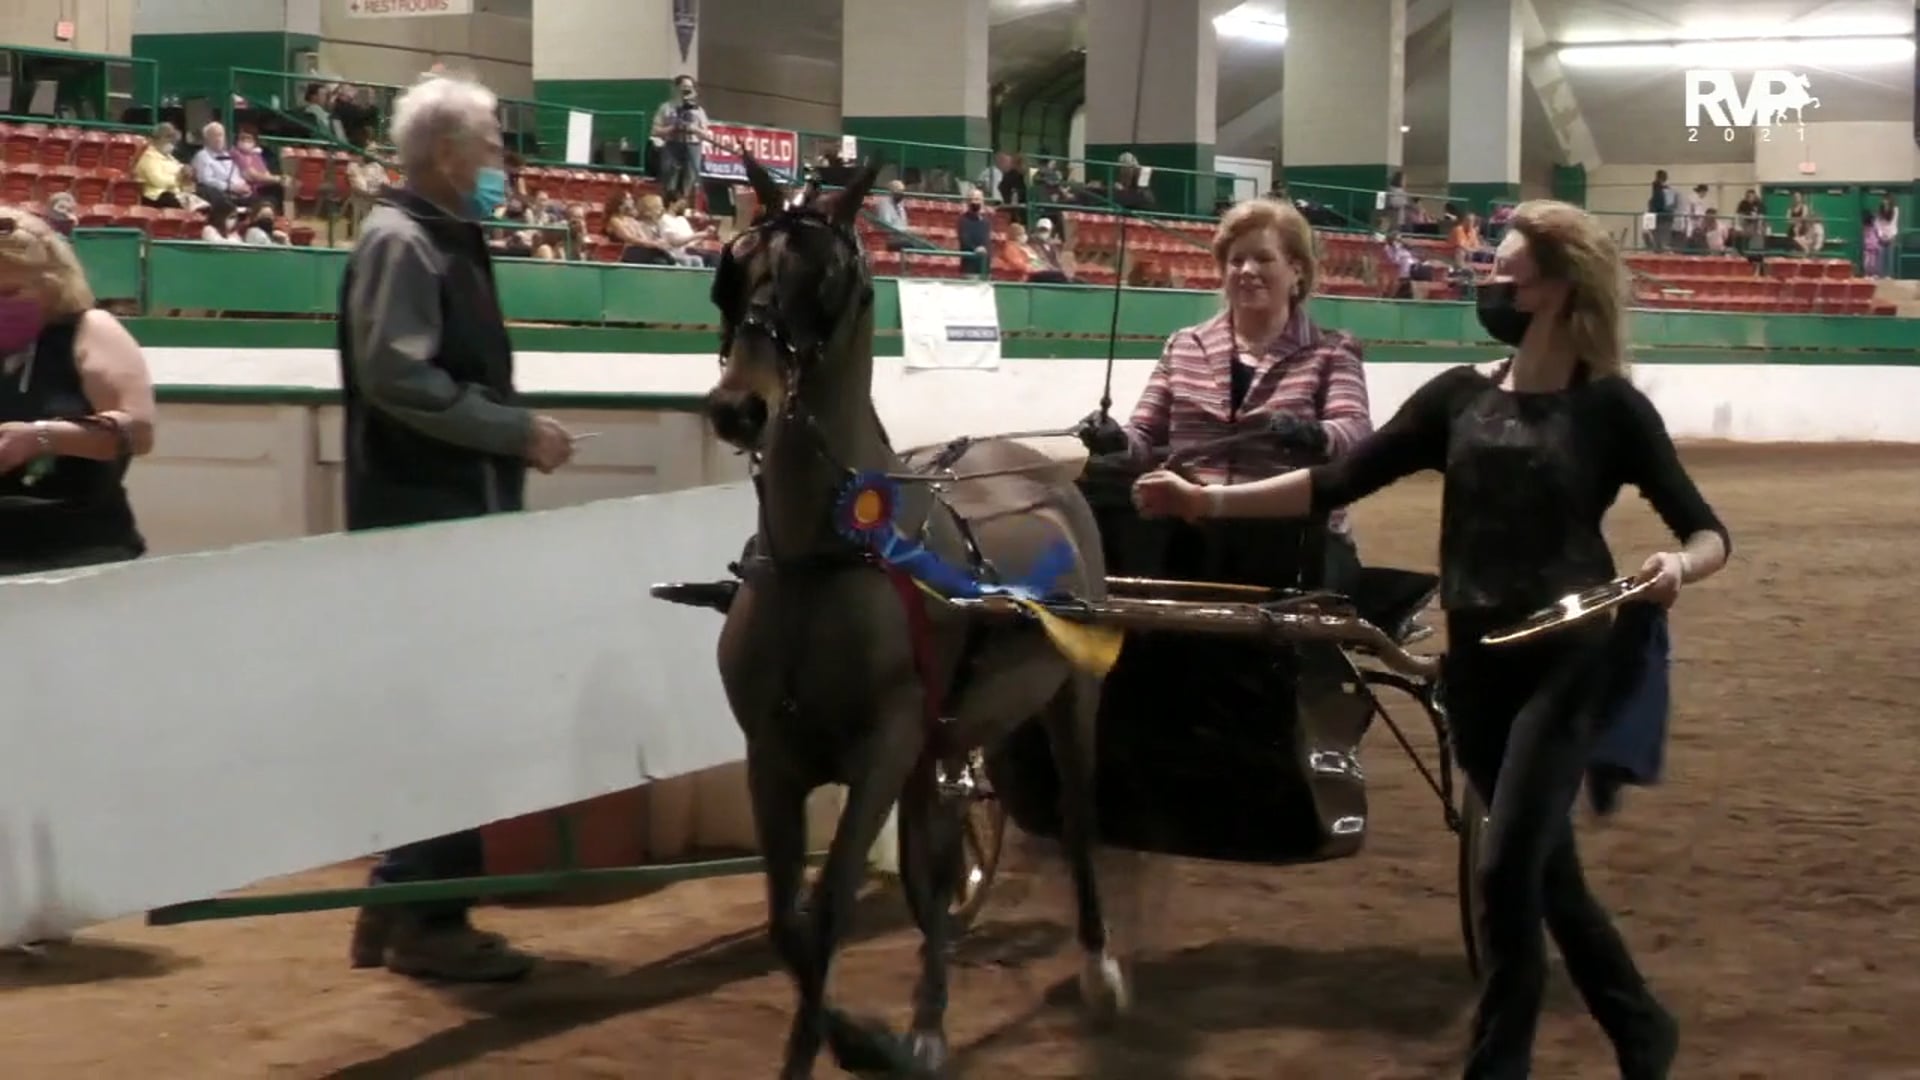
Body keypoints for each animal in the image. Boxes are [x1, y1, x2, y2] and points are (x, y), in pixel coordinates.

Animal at [695, 157, 1128, 1078]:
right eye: (732, 267)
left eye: (827, 281)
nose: (740, 408)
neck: (823, 563)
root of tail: (1040, 465)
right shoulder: (772, 760)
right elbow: (790, 923)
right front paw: (876, 1039)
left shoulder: (882, 750)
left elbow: (827, 913)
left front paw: (848, 1044)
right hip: (942, 744)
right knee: (935, 866)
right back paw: (928, 1023)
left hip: (1068, 700)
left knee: (1078, 820)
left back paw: (1100, 969)